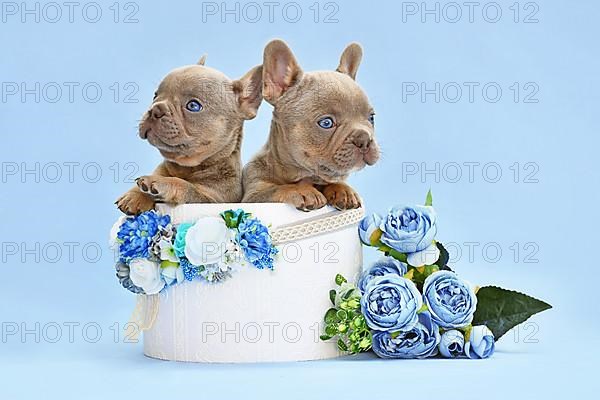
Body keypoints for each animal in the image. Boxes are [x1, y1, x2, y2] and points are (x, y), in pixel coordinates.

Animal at [116, 55, 262, 216]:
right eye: (155, 95)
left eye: (193, 106)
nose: (155, 109)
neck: (186, 167)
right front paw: (135, 195)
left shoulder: (212, 200)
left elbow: (186, 186)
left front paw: (161, 182)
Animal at [240, 39, 378, 211]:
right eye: (326, 123)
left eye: (371, 118)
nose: (365, 139)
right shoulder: (254, 195)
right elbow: (277, 189)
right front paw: (301, 190)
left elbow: (333, 180)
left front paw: (343, 190)